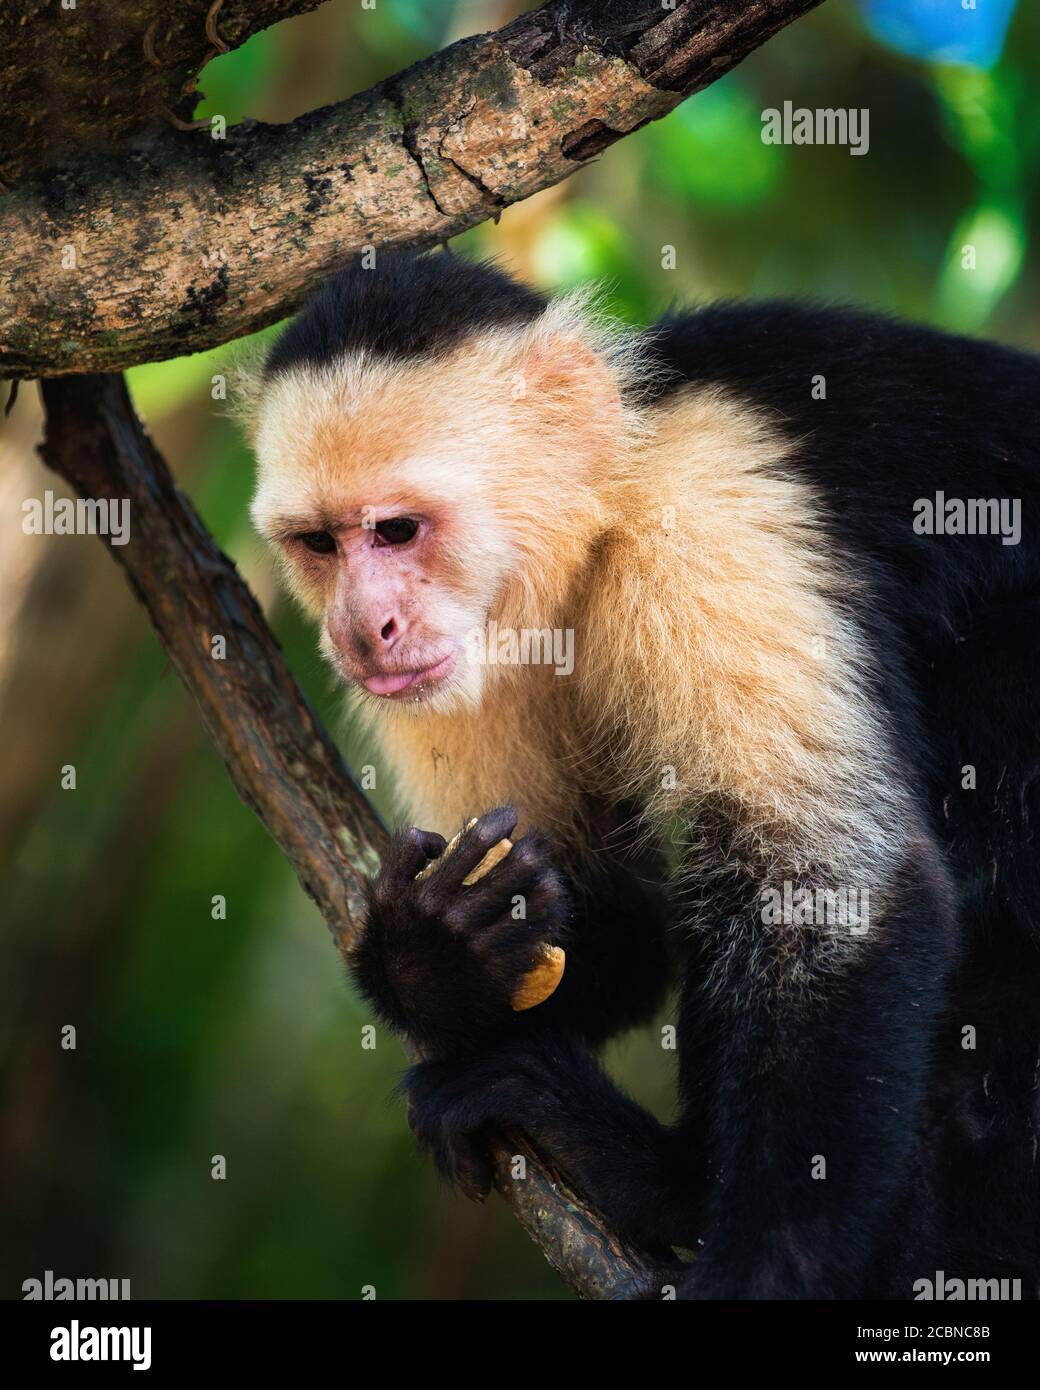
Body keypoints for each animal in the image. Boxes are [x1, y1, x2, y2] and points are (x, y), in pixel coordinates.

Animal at [246, 250, 1040, 1301]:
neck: (598, 521)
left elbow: (830, 891)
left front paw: (755, 1272)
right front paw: (443, 953)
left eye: (398, 530)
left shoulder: (700, 510)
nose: (360, 631)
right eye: (320, 544)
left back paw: (668, 1186)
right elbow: (613, 931)